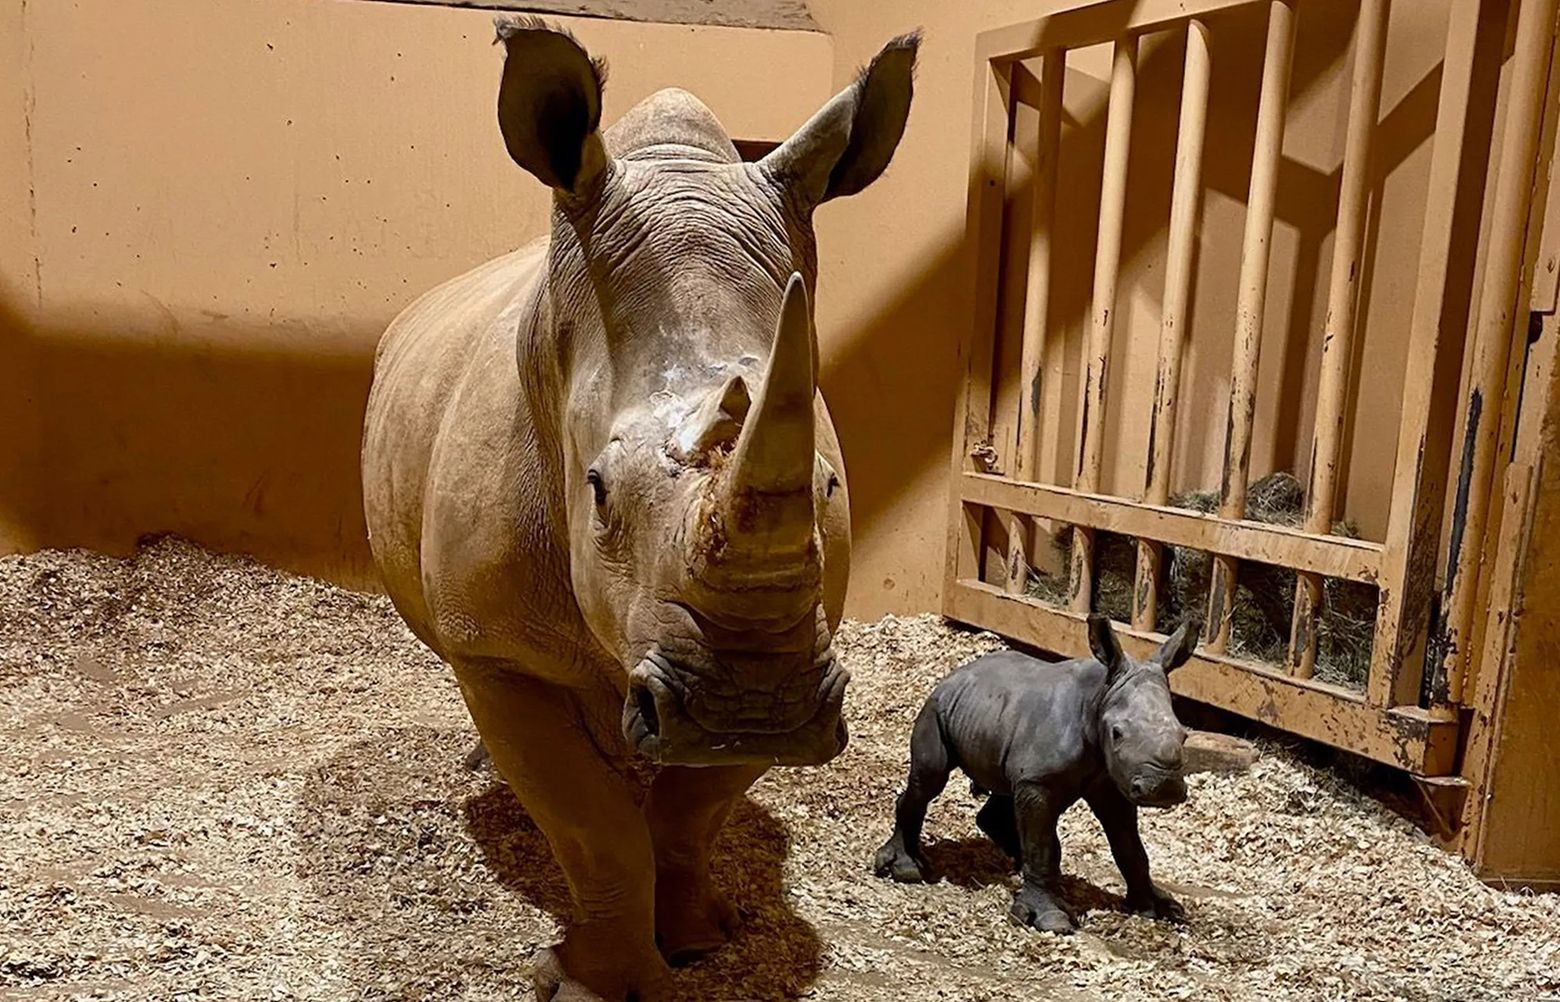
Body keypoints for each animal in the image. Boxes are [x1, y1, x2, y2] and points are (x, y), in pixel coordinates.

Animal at [360, 18, 918, 1002]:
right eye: (596, 491)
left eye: (828, 489)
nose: (755, 706)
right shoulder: (497, 650)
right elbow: (593, 826)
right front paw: (601, 983)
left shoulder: (793, 642)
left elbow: (693, 809)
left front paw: (698, 941)